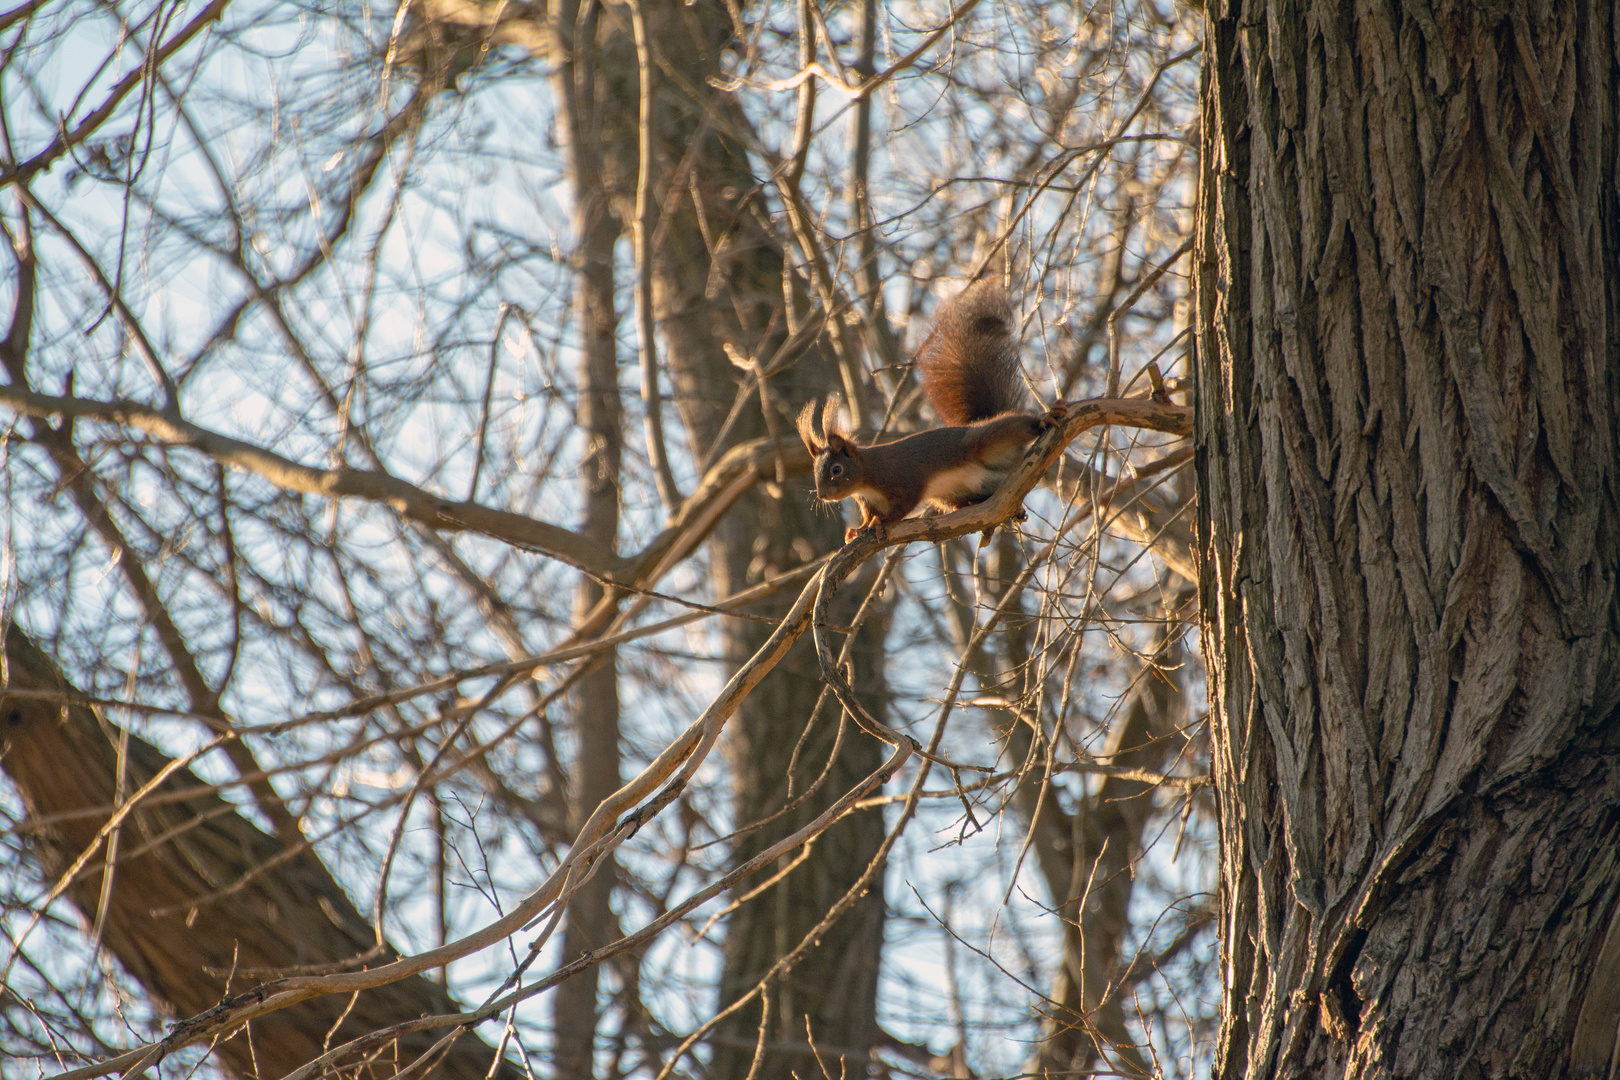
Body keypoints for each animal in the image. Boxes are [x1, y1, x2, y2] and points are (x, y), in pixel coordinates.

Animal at [793, 283, 1069, 544]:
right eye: (816, 471)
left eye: (836, 469)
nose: (822, 495)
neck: (867, 476)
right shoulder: (868, 503)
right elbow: (868, 516)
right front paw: (858, 529)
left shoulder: (904, 478)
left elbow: (904, 505)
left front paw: (883, 523)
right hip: (953, 492)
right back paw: (975, 506)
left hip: (983, 441)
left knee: (1015, 426)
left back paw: (1045, 419)